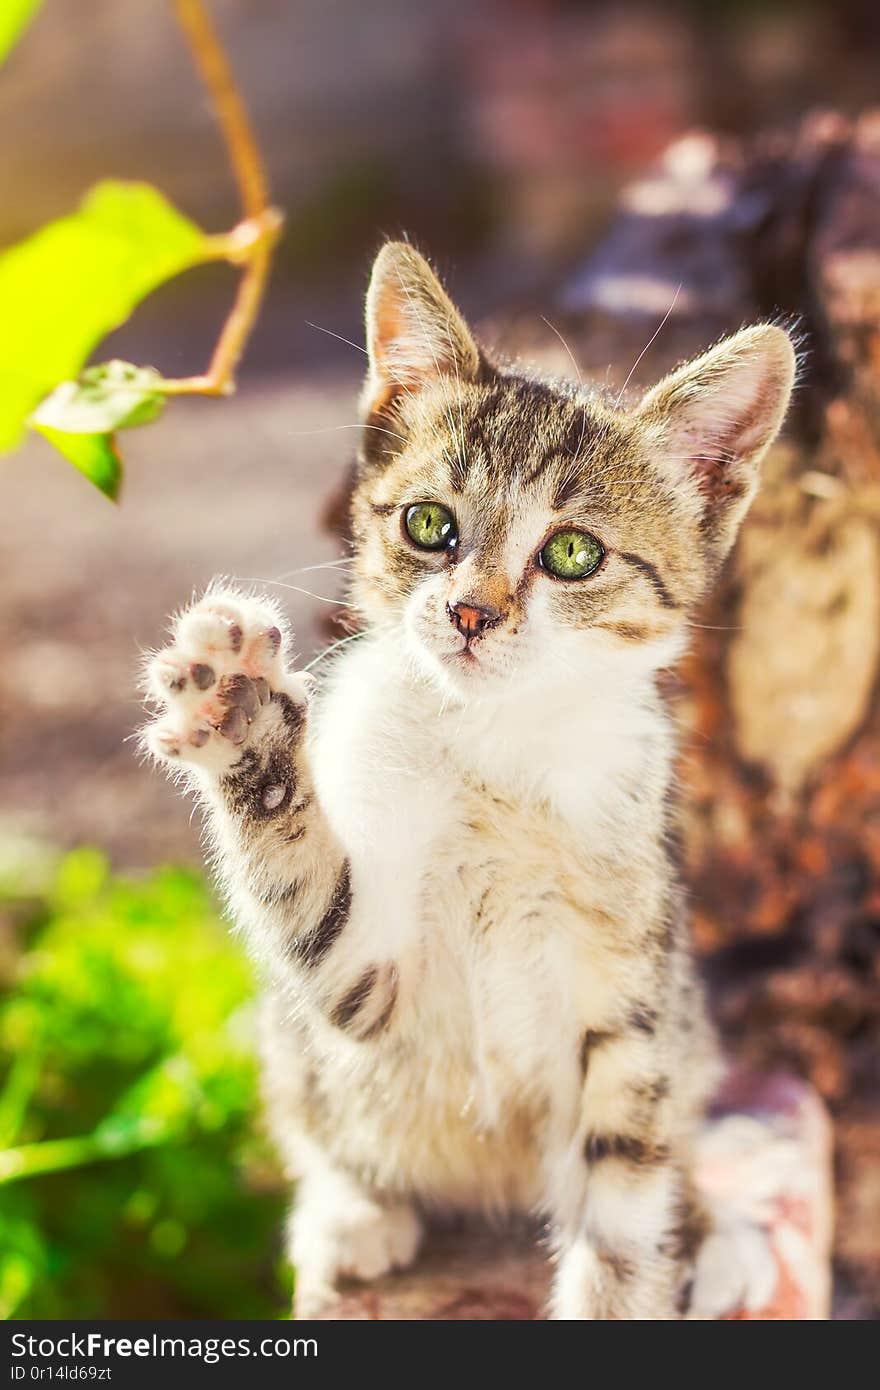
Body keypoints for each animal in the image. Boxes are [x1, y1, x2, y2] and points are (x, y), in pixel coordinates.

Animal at [140, 244, 795, 1317]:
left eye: (572, 552)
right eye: (429, 524)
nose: (471, 613)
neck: (498, 750)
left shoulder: (631, 990)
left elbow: (623, 1186)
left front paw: (627, 1279)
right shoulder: (370, 984)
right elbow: (311, 904)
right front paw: (244, 718)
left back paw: (710, 1227)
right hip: (300, 1054)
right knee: (314, 1116)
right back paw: (352, 1211)